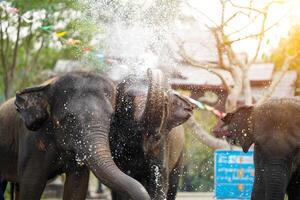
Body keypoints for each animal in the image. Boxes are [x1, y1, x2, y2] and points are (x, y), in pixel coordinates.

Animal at [0, 71, 151, 199]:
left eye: (111, 117)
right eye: (70, 118)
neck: (48, 86)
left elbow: (77, 186)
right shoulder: (32, 142)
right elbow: (31, 186)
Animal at [110, 69, 195, 200]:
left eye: (165, 102)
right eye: (127, 99)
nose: (148, 70)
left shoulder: (164, 143)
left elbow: (159, 181)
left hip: (180, 155)